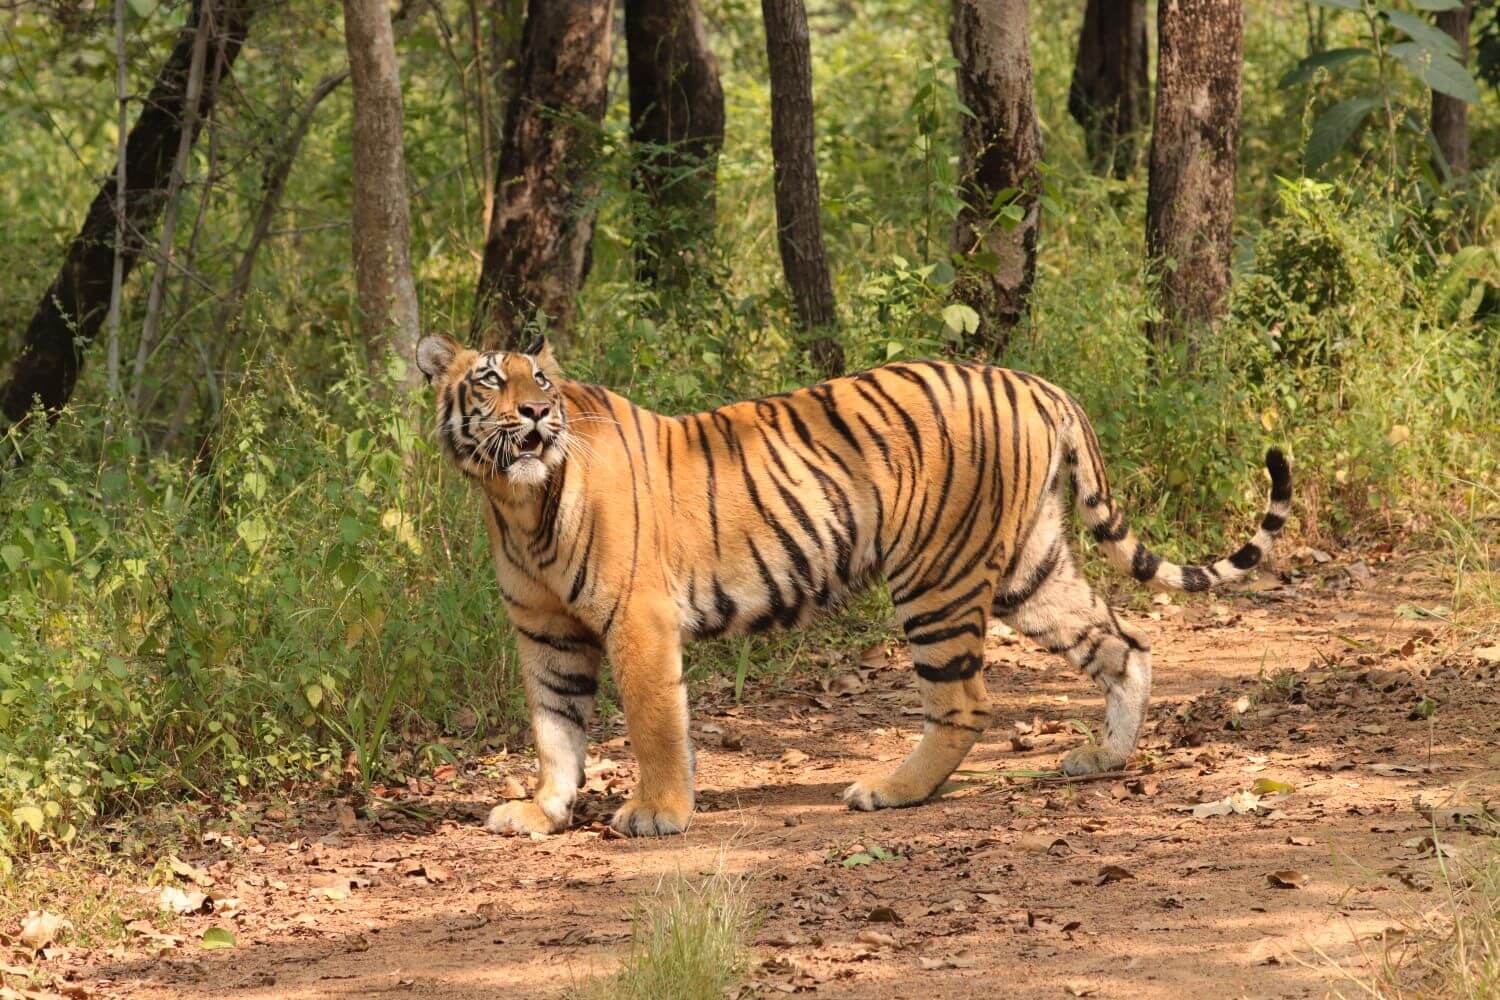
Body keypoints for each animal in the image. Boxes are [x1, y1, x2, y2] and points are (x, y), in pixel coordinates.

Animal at [415, 333, 1292, 838]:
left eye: (542, 381)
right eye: (489, 379)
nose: (535, 413)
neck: (518, 500)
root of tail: (1036, 383)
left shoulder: (638, 618)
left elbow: (655, 724)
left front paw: (657, 813)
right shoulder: (546, 632)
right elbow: (555, 729)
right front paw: (541, 810)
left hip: (937, 577)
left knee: (964, 702)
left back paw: (889, 792)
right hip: (1031, 569)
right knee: (1125, 642)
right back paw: (1102, 758)